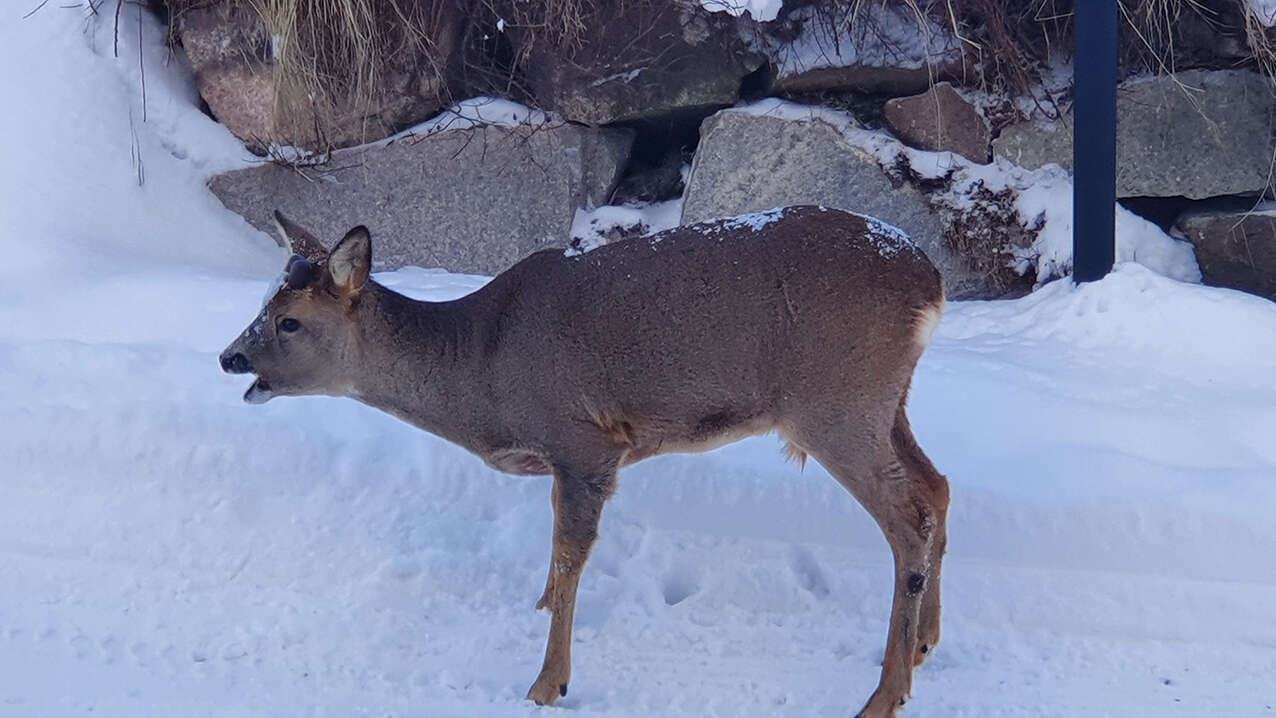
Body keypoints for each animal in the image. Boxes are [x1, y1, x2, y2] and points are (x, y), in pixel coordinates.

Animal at [219, 205, 949, 717]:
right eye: (263, 304)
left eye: (289, 322)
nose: (231, 357)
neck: (483, 368)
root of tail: (930, 282)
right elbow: (556, 556)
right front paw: (539, 609)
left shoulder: (583, 442)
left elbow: (572, 554)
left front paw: (547, 682)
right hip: (887, 402)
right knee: (936, 487)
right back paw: (922, 647)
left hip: (836, 402)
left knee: (907, 519)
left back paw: (884, 695)